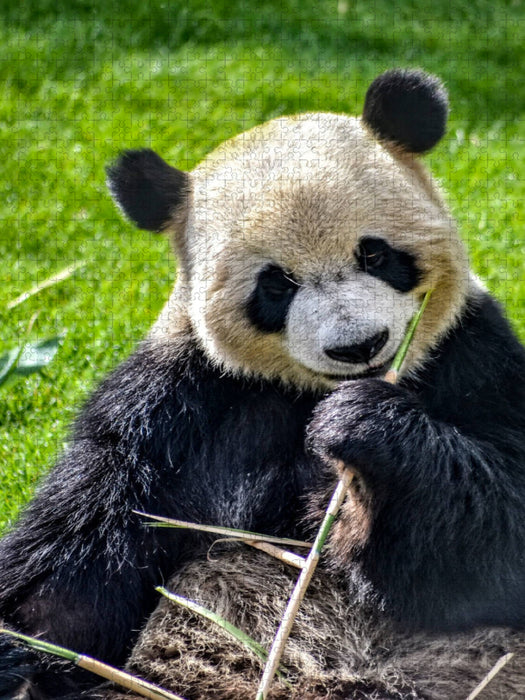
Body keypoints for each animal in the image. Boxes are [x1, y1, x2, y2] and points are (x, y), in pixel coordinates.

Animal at [1, 69, 525, 700]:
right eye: (276, 285)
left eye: (375, 254)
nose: (358, 347)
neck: (309, 392)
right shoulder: (176, 403)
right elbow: (80, 552)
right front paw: (17, 653)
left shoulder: (475, 356)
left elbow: (500, 530)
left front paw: (364, 429)